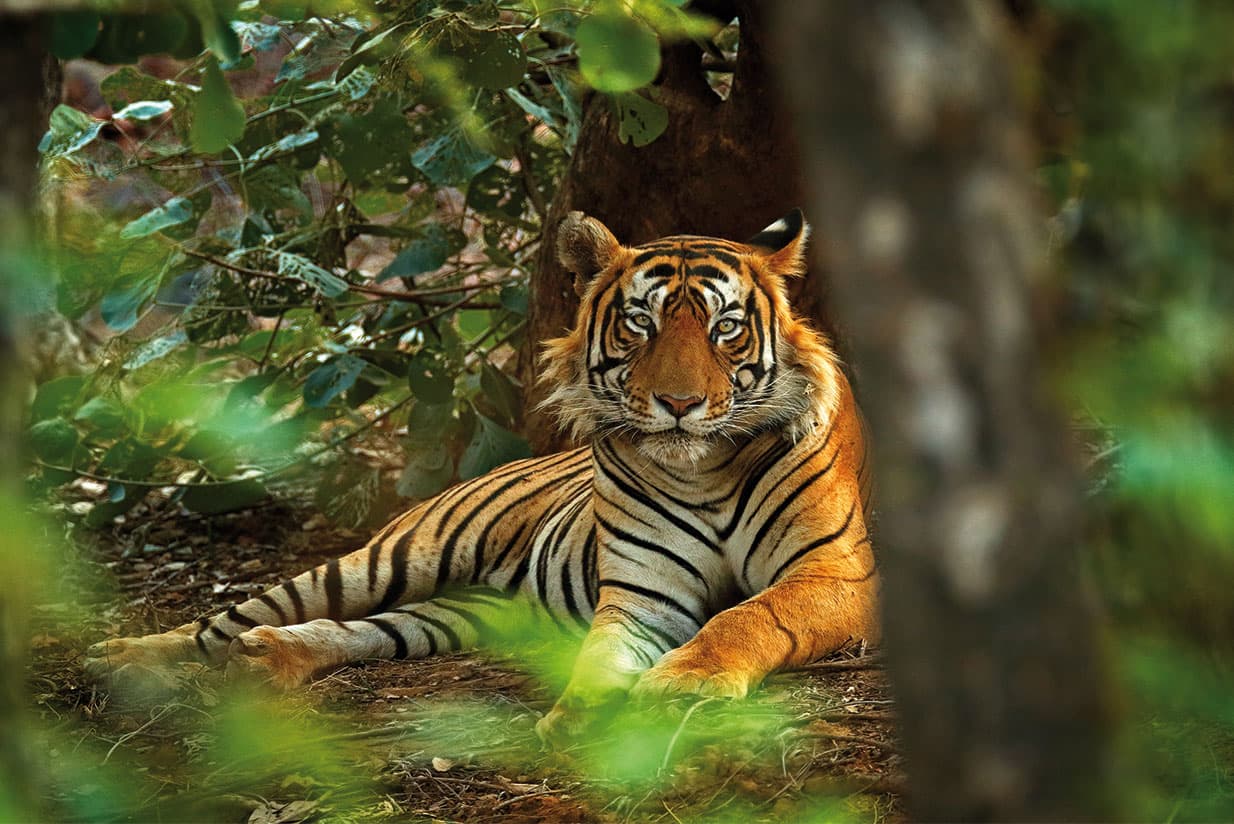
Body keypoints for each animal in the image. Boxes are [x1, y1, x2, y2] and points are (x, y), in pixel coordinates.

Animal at [83, 210, 879, 744]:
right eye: (640, 324)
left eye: (725, 329)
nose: (678, 404)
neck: (704, 470)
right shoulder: (642, 596)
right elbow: (601, 654)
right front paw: (582, 716)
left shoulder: (837, 573)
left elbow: (748, 614)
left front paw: (686, 682)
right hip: (392, 558)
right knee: (230, 618)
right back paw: (124, 657)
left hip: (462, 612)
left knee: (362, 632)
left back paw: (267, 659)